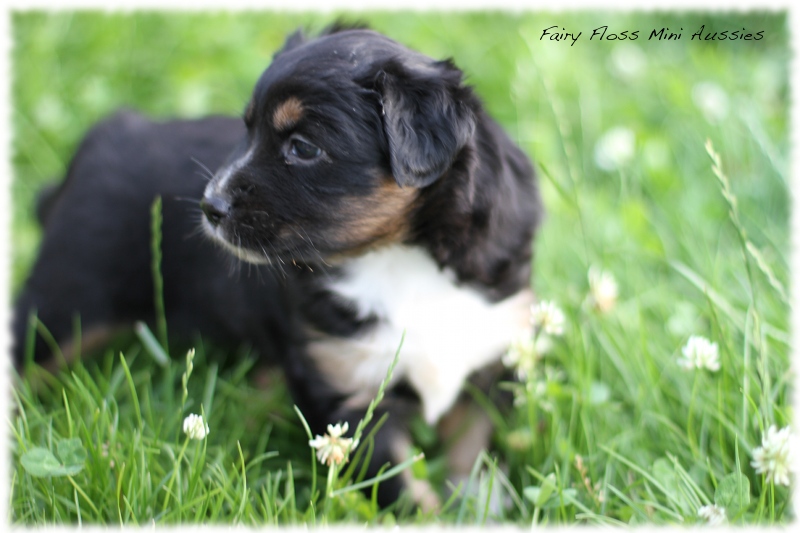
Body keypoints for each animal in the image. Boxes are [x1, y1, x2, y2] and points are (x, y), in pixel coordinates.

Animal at [15, 25, 544, 508]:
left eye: (303, 147)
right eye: (246, 129)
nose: (209, 206)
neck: (399, 256)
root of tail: (108, 133)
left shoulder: (492, 361)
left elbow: (473, 458)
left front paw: (481, 508)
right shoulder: (349, 393)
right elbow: (402, 488)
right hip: (67, 299)